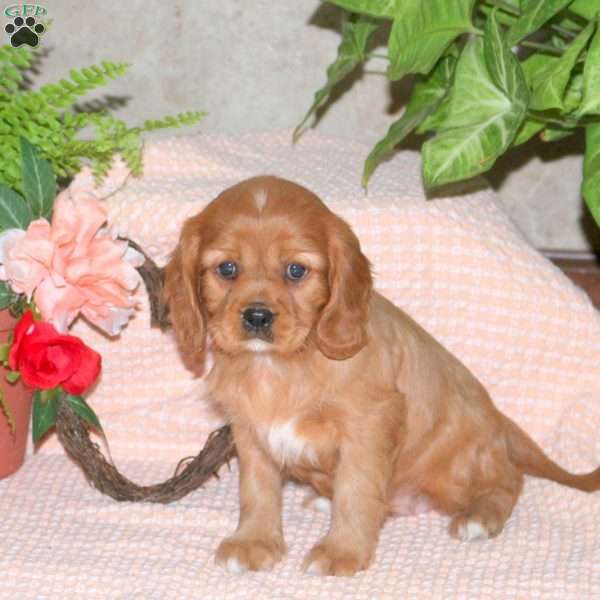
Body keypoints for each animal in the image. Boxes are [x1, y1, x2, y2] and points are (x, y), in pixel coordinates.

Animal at [165, 175, 600, 576]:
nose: (257, 316)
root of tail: (500, 423)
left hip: (456, 467)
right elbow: (257, 491)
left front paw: (341, 551)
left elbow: (356, 491)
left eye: (296, 270)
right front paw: (254, 542)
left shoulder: (368, 426)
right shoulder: (251, 431)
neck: (280, 366)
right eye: (227, 269)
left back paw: (480, 516)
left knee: (508, 478)